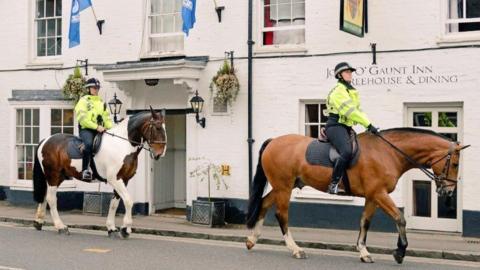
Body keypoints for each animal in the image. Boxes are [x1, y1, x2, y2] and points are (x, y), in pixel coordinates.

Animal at [32, 107, 167, 238]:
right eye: (157, 127)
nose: (160, 154)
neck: (123, 145)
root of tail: (45, 140)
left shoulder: (124, 180)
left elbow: (114, 203)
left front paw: (112, 228)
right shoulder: (115, 179)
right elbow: (128, 201)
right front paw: (125, 229)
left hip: (58, 176)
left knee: (44, 196)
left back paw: (39, 221)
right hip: (53, 175)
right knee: (51, 199)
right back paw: (61, 227)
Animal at [248, 128, 468, 264]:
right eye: (456, 163)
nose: (449, 191)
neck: (388, 152)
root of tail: (273, 142)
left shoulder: (373, 196)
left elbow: (365, 222)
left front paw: (363, 252)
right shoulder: (379, 194)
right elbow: (400, 218)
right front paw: (400, 251)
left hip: (283, 186)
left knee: (264, 203)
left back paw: (251, 239)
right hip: (284, 187)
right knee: (282, 215)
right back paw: (295, 249)